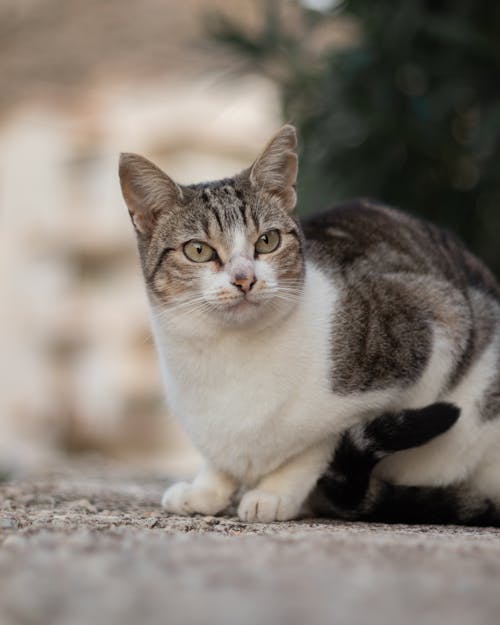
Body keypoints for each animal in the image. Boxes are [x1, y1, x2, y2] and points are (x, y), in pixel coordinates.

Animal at [119, 124, 500, 524]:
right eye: (198, 250)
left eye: (267, 241)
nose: (244, 279)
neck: (229, 352)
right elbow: (220, 457)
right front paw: (207, 488)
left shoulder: (436, 324)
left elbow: (318, 444)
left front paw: (274, 493)